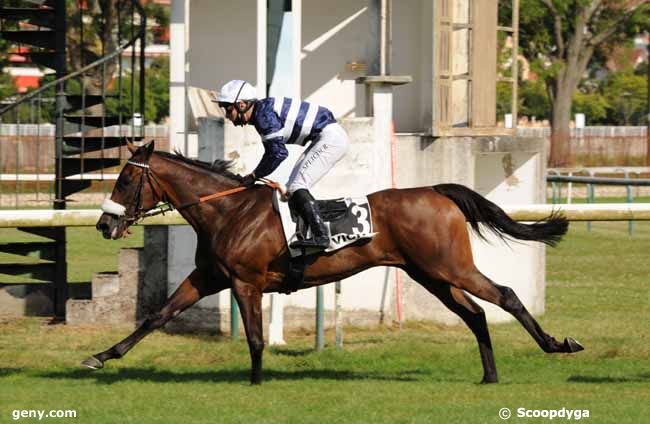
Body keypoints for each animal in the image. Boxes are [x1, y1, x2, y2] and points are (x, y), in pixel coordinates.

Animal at [87, 142, 584, 384]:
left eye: (125, 179)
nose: (104, 225)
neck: (228, 211)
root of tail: (435, 190)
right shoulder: (209, 277)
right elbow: (156, 316)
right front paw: (101, 356)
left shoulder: (246, 283)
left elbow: (255, 337)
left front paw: (255, 382)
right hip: (429, 274)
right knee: (476, 313)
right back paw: (490, 375)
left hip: (449, 267)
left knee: (506, 295)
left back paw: (556, 344)